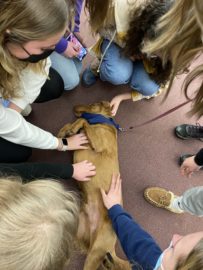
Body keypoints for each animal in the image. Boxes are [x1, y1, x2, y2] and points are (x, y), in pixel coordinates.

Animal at [58, 101, 131, 270]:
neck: (101, 121)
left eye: (92, 104)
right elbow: (70, 126)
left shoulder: (98, 143)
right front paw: (65, 131)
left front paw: (73, 127)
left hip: (95, 251)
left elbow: (84, 121)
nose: (74, 108)